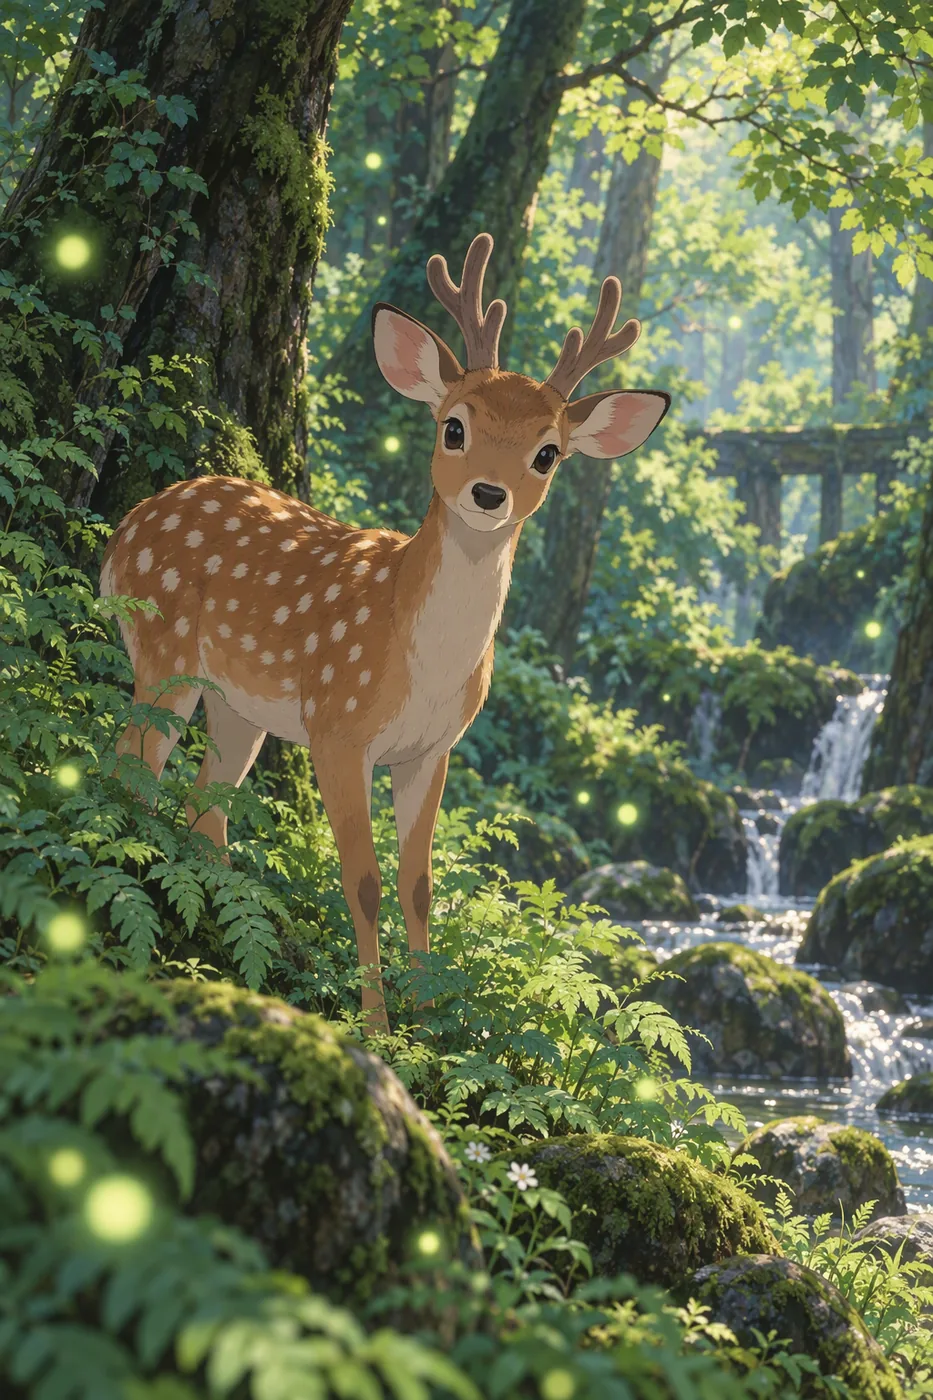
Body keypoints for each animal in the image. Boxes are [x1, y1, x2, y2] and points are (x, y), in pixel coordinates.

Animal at [100, 233, 670, 1032]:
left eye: (547, 452)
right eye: (454, 426)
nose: (488, 494)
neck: (420, 654)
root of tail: (121, 533)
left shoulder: (432, 748)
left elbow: (417, 882)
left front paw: (431, 1018)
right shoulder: (337, 726)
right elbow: (363, 879)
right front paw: (376, 1026)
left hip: (237, 705)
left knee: (203, 800)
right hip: (162, 652)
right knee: (132, 767)